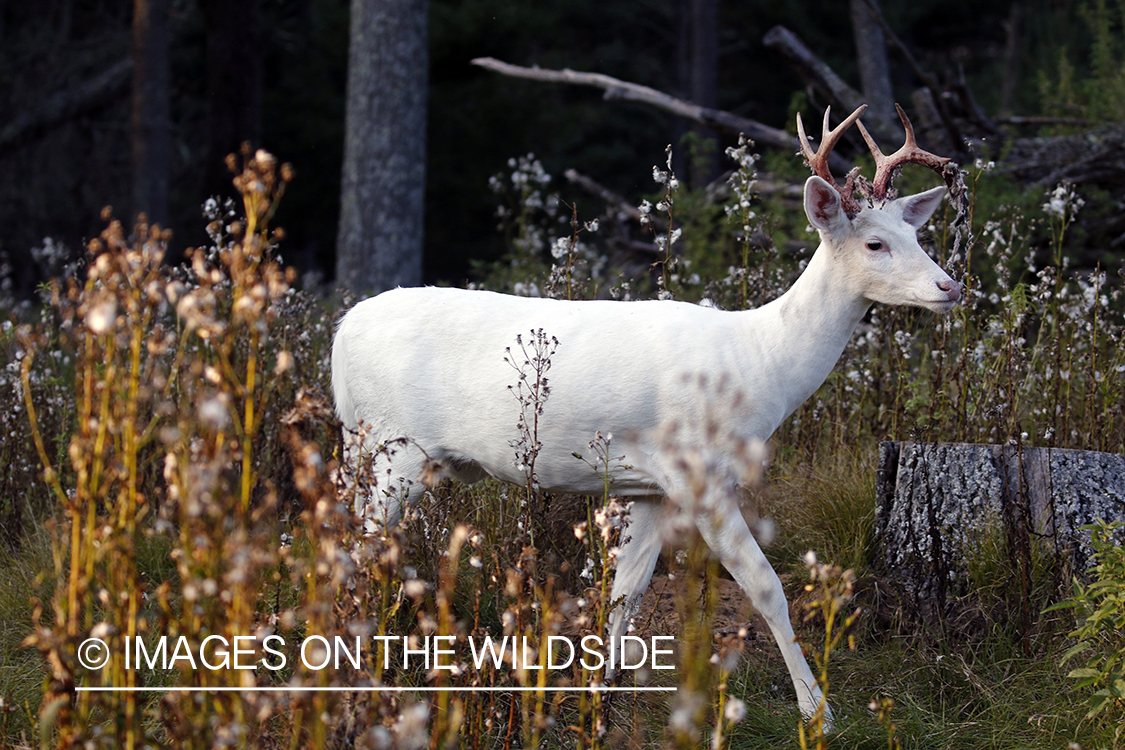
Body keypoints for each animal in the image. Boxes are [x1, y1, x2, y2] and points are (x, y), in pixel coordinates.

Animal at [330, 105, 958, 719]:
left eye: (914, 233)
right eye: (874, 243)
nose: (949, 286)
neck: (761, 364)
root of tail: (341, 332)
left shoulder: (651, 485)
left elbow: (626, 589)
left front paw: (597, 694)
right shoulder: (702, 472)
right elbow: (765, 586)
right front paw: (816, 710)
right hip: (396, 449)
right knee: (355, 546)